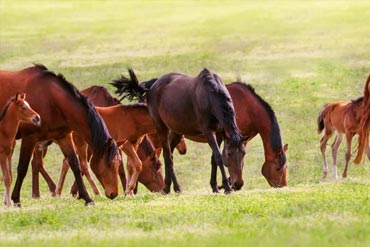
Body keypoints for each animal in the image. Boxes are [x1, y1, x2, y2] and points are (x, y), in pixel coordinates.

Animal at [0, 64, 120, 206]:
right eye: (109, 164)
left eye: (118, 163)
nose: (114, 194)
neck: (51, 99)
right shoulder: (29, 138)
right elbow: (22, 168)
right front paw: (16, 198)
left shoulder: (63, 137)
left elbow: (75, 165)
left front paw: (86, 197)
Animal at [111, 68, 247, 194]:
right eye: (229, 154)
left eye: (244, 153)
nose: (238, 183)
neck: (209, 96)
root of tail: (153, 85)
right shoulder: (208, 131)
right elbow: (218, 157)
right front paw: (227, 187)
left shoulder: (218, 133)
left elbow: (214, 157)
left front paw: (215, 187)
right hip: (161, 128)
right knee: (167, 156)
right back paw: (173, 188)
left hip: (176, 131)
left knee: (169, 154)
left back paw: (169, 187)